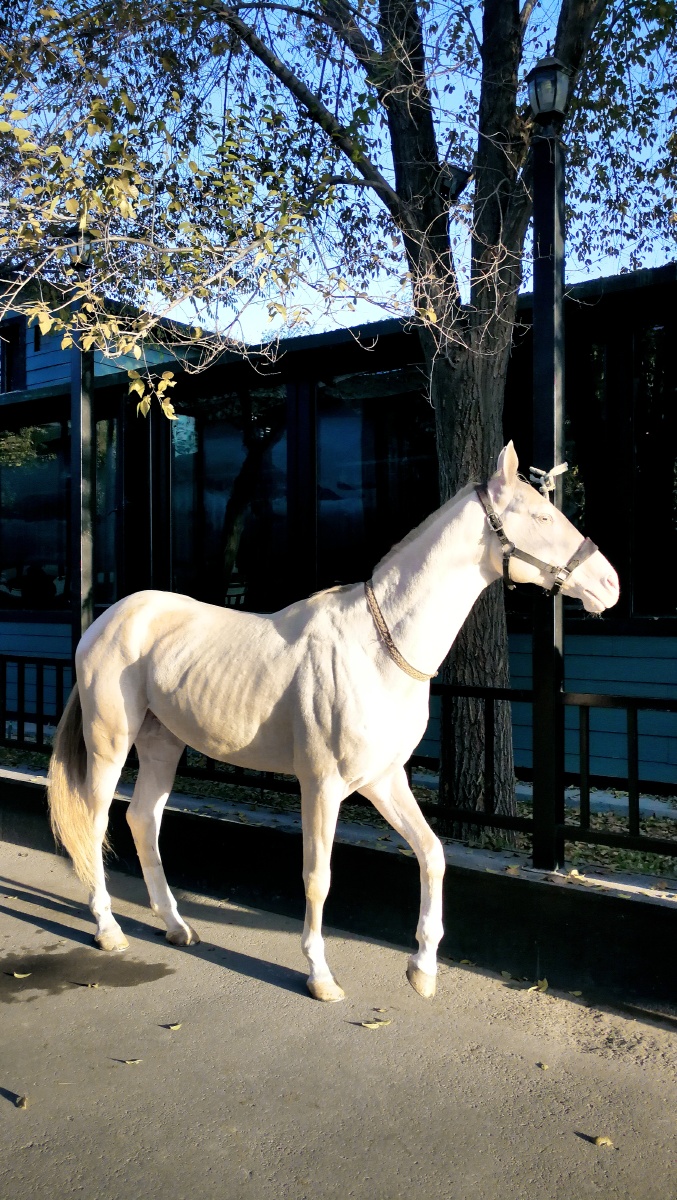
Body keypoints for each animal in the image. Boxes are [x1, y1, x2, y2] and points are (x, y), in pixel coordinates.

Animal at [47, 442, 619, 1002]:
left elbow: (432, 853)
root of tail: (105, 620)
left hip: (162, 745)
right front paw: (320, 975)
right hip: (110, 745)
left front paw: (422, 968)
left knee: (144, 820)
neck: (379, 649)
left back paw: (175, 925)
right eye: (540, 514)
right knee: (96, 823)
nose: (609, 584)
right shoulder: (322, 786)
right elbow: (317, 876)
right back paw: (108, 929)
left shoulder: (384, 780)